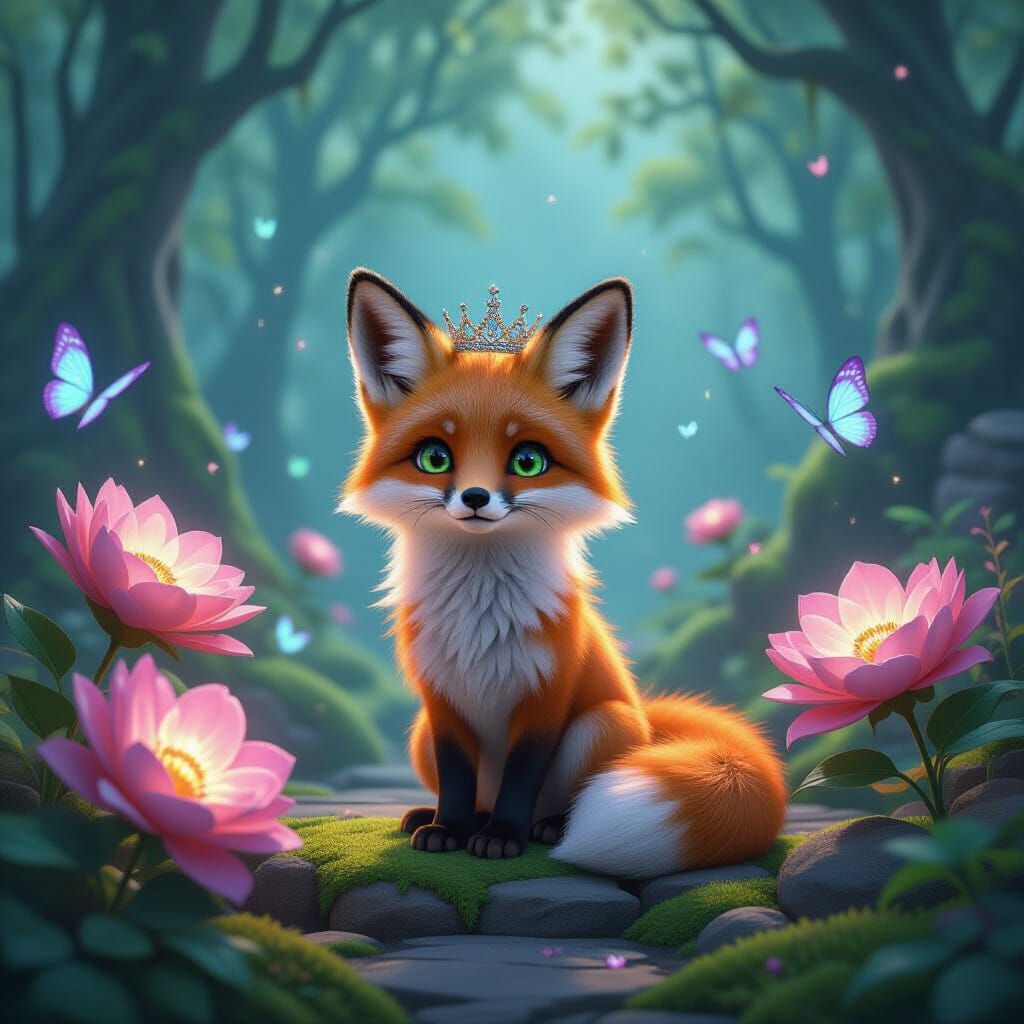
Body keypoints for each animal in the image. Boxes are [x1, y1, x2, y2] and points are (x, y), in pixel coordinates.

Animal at [339, 268, 787, 876]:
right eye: (435, 457)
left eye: (528, 461)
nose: (474, 498)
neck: (480, 618)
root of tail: (647, 717)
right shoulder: (441, 701)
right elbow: (455, 779)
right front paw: (448, 829)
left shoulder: (546, 697)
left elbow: (522, 777)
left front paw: (503, 838)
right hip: (417, 736)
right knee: (474, 792)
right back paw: (442, 817)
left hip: (601, 724)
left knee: (560, 797)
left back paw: (544, 827)